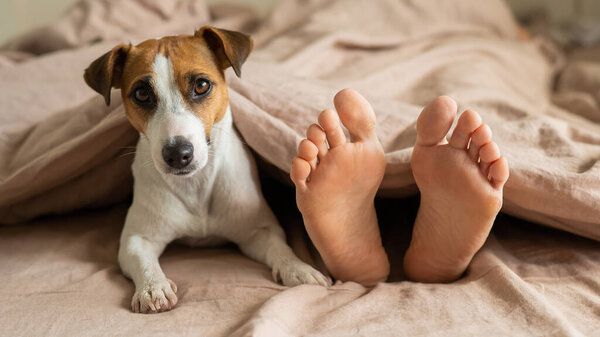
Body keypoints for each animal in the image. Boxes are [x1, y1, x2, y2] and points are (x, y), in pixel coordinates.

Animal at [83, 25, 328, 312]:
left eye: (201, 85)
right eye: (141, 94)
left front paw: (298, 269)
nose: (177, 154)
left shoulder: (259, 231)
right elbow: (144, 263)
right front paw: (153, 287)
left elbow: (281, 248)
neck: (196, 185)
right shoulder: (137, 239)